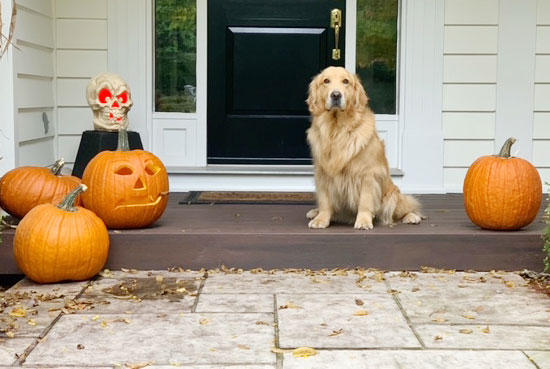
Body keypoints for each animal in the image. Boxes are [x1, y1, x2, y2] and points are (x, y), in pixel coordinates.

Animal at [306, 64, 422, 229]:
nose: (336, 95)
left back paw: (412, 217)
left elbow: (365, 201)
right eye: (326, 81)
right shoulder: (323, 174)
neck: (337, 129)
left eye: (346, 81)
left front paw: (363, 221)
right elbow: (325, 201)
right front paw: (321, 219)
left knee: (406, 207)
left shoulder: (368, 175)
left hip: (392, 196)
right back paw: (314, 212)